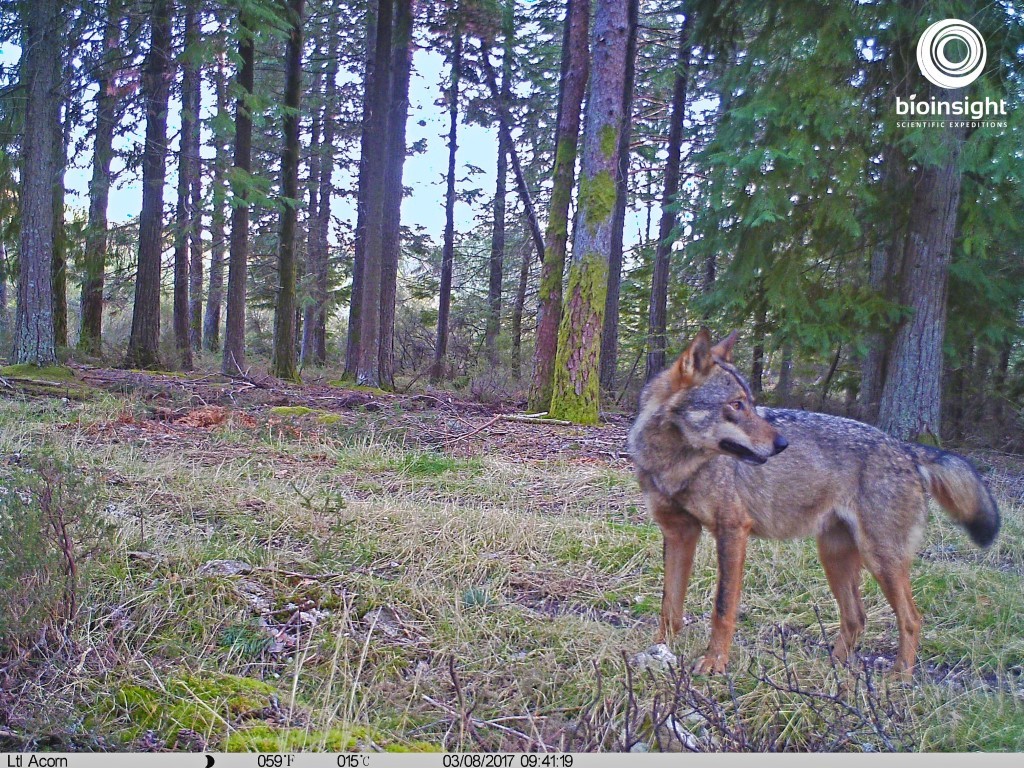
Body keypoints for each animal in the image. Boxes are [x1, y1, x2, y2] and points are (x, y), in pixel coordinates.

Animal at [626, 327, 995, 675]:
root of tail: (906, 449)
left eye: (751, 403)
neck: (676, 465)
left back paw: (898, 679)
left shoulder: (732, 531)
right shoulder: (679, 534)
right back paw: (835, 668)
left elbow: (722, 607)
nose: (782, 444)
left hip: (880, 560)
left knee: (911, 619)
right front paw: (659, 651)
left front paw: (714, 663)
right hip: (834, 557)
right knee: (856, 617)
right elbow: (669, 606)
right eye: (736, 404)